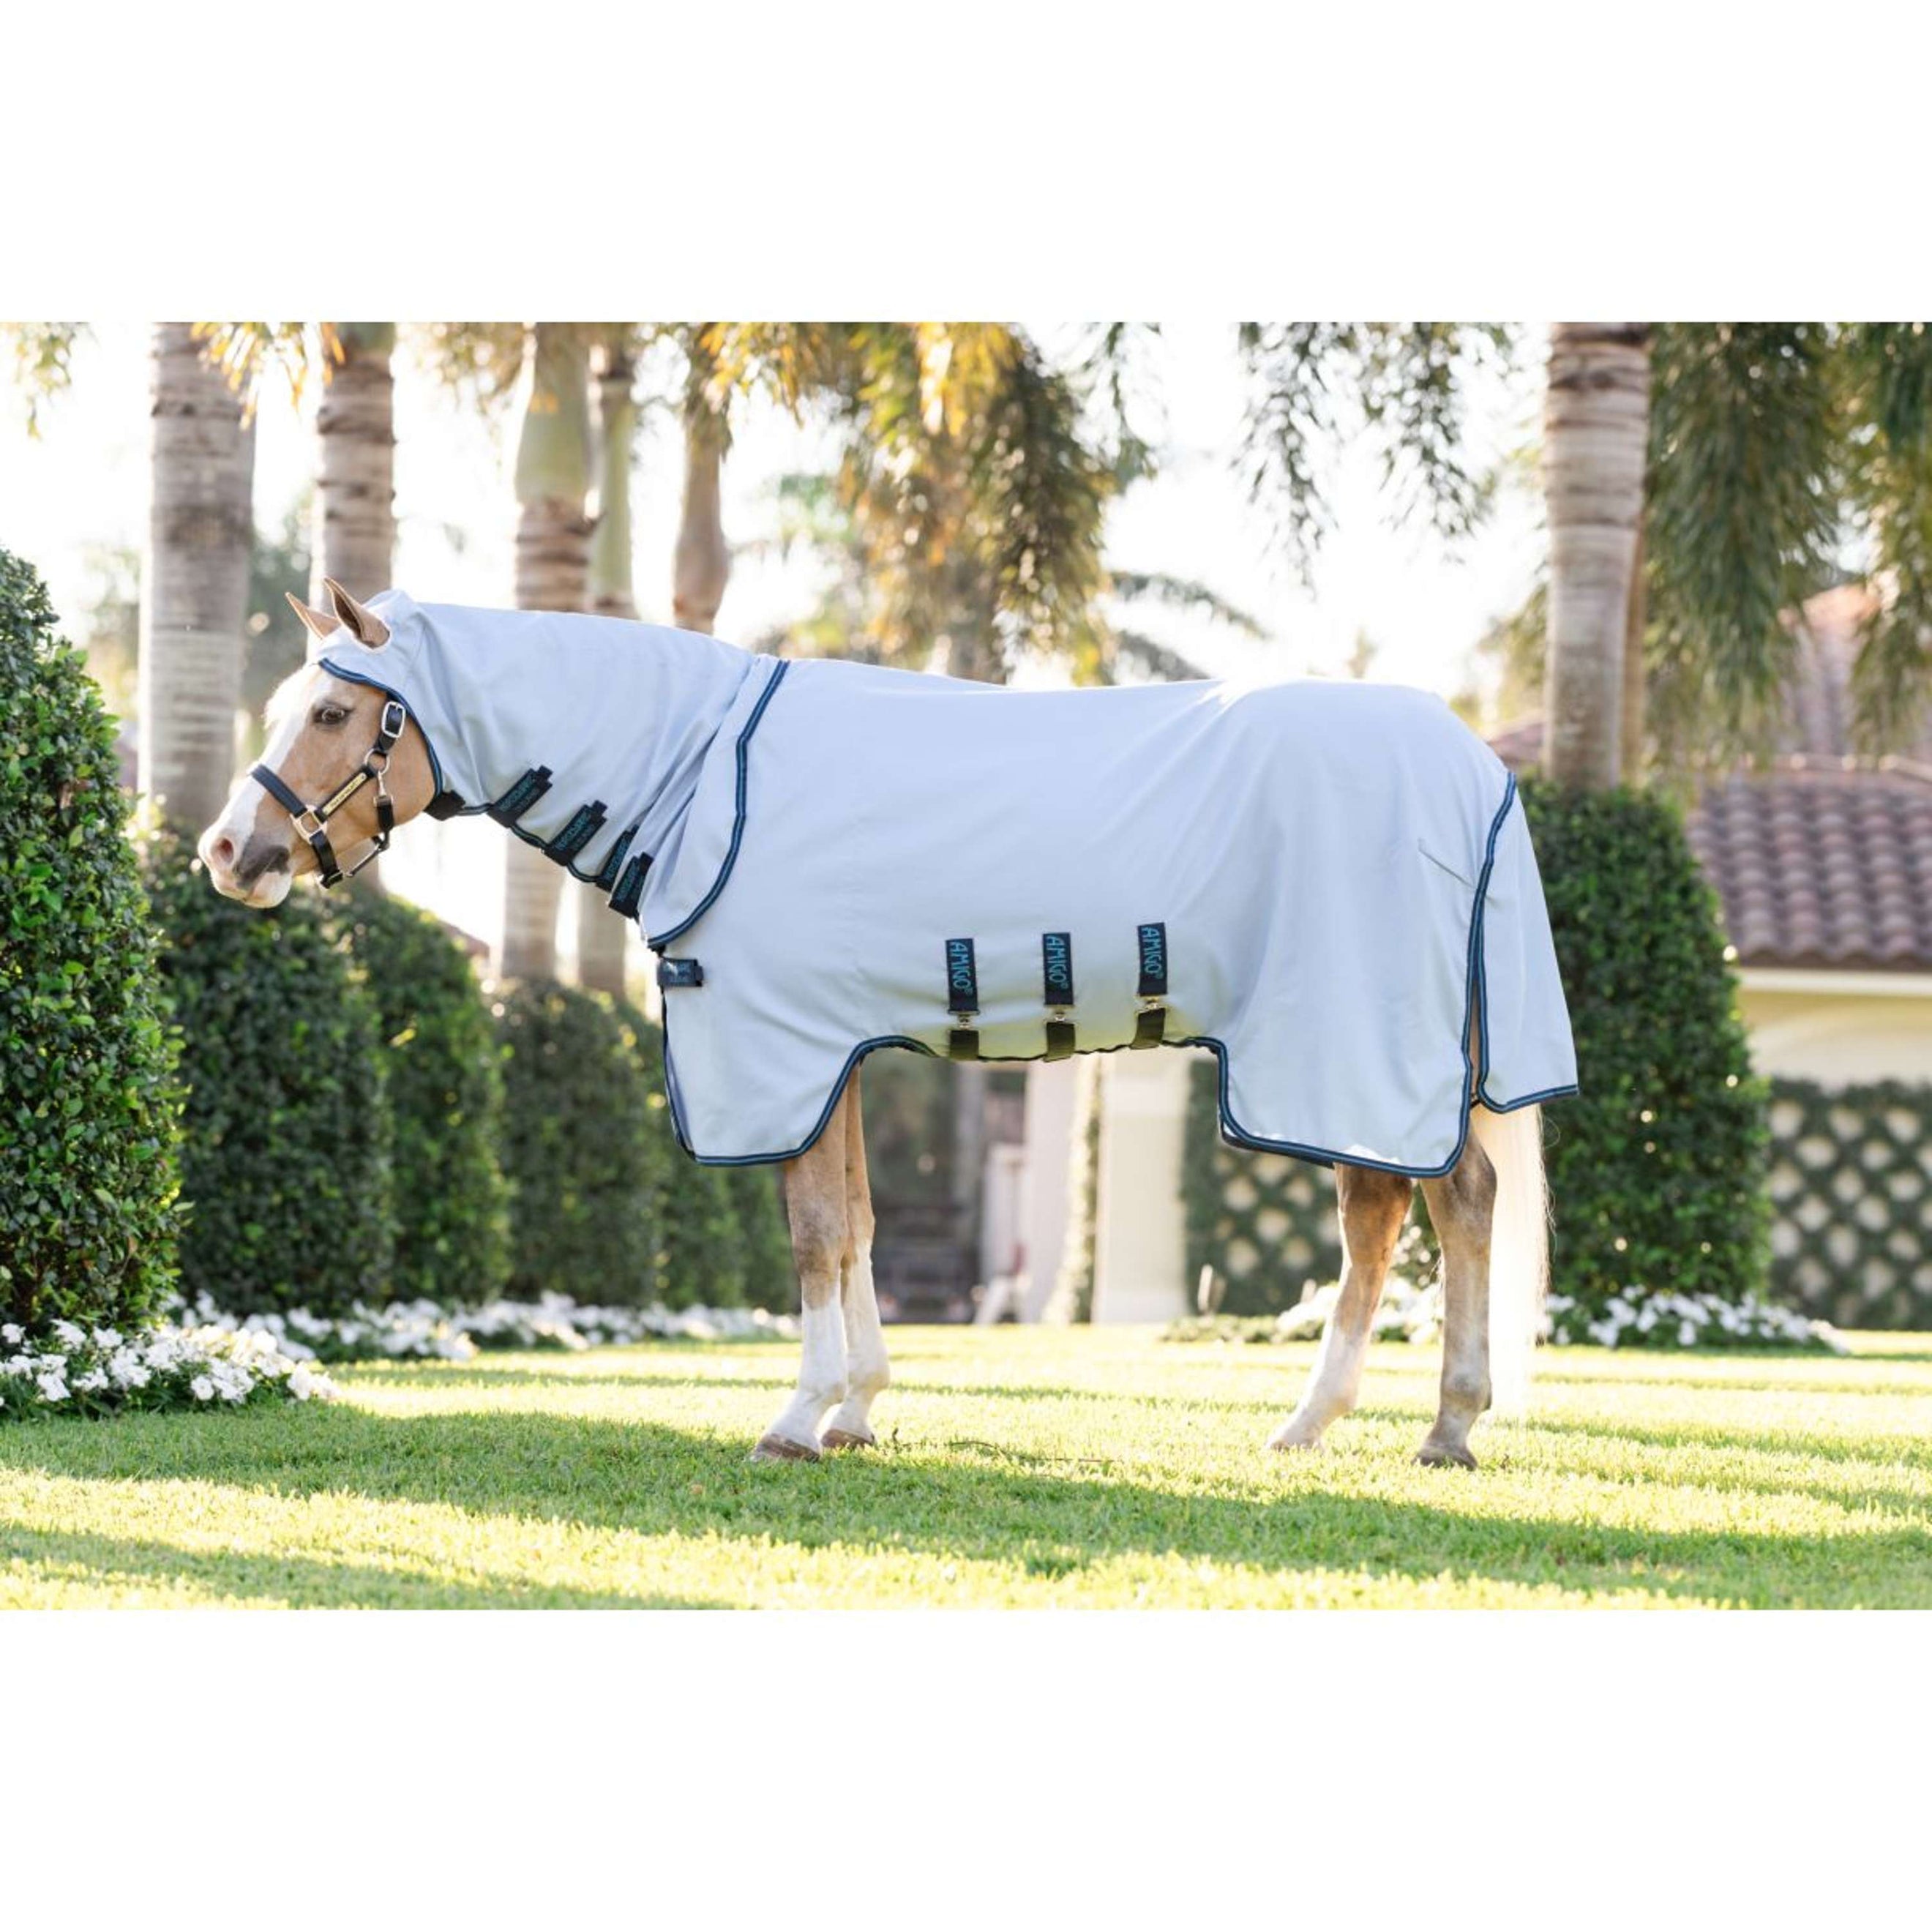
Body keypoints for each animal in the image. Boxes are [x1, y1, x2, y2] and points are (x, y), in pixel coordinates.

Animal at [199, 578, 1573, 1469]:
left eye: (331, 714)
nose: (228, 853)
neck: (707, 772)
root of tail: (1474, 766)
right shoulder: (838, 1052)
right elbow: (854, 1225)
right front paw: (857, 1410)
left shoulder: (785, 1049)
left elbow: (812, 1236)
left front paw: (796, 1422)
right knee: (1422, 1211)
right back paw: (1368, 1425)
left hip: (1342, 1043)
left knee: (1413, 1213)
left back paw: (1421, 1424)